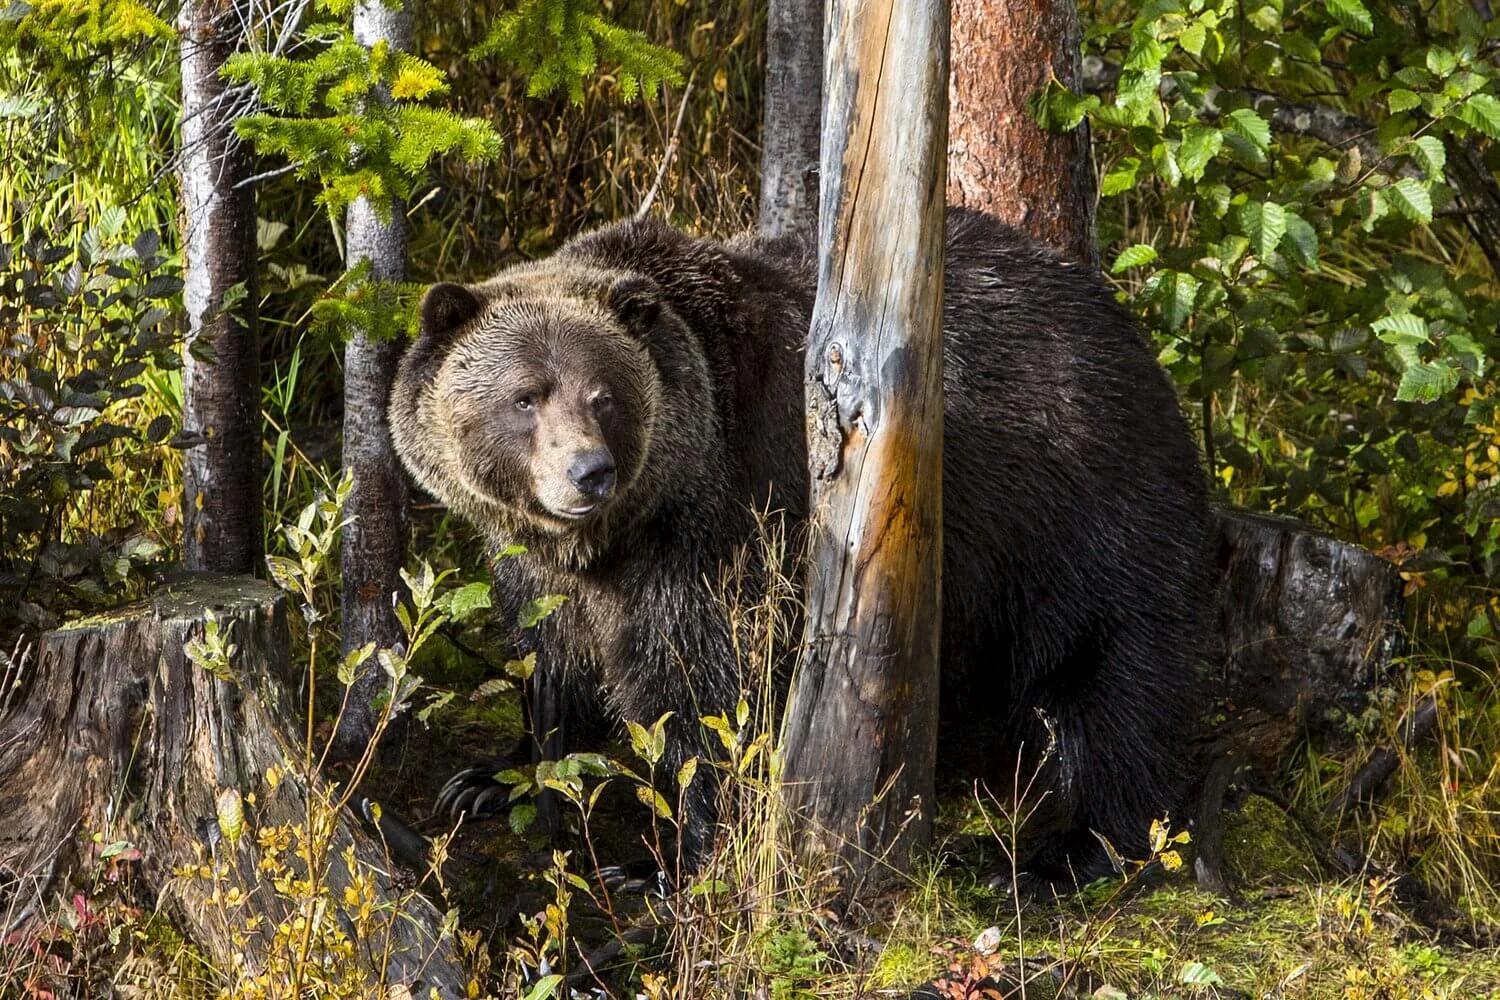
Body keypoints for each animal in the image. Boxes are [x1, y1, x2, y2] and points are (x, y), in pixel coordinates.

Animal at [388, 207, 1214, 888]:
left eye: (605, 395)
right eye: (525, 396)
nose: (589, 472)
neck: (624, 533)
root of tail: (1133, 337)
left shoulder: (730, 523)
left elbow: (711, 691)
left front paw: (660, 862)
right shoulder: (543, 570)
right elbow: (550, 661)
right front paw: (487, 778)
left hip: (1080, 515)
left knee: (1112, 684)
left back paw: (1060, 854)